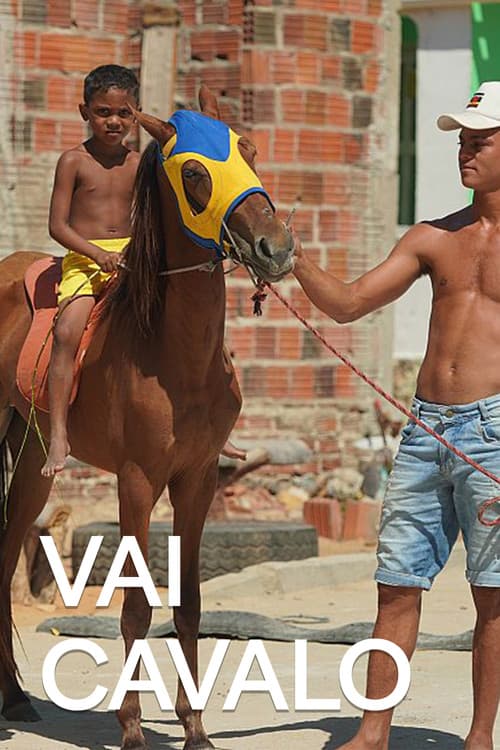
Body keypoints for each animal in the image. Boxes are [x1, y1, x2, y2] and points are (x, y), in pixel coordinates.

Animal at [0, 86, 294, 750]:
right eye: (194, 173)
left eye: (250, 152)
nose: (277, 247)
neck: (173, 352)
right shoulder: (136, 480)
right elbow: (135, 607)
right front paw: (132, 728)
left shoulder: (197, 479)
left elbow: (189, 604)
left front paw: (194, 728)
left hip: (32, 461)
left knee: (4, 551)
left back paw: (14, 697)